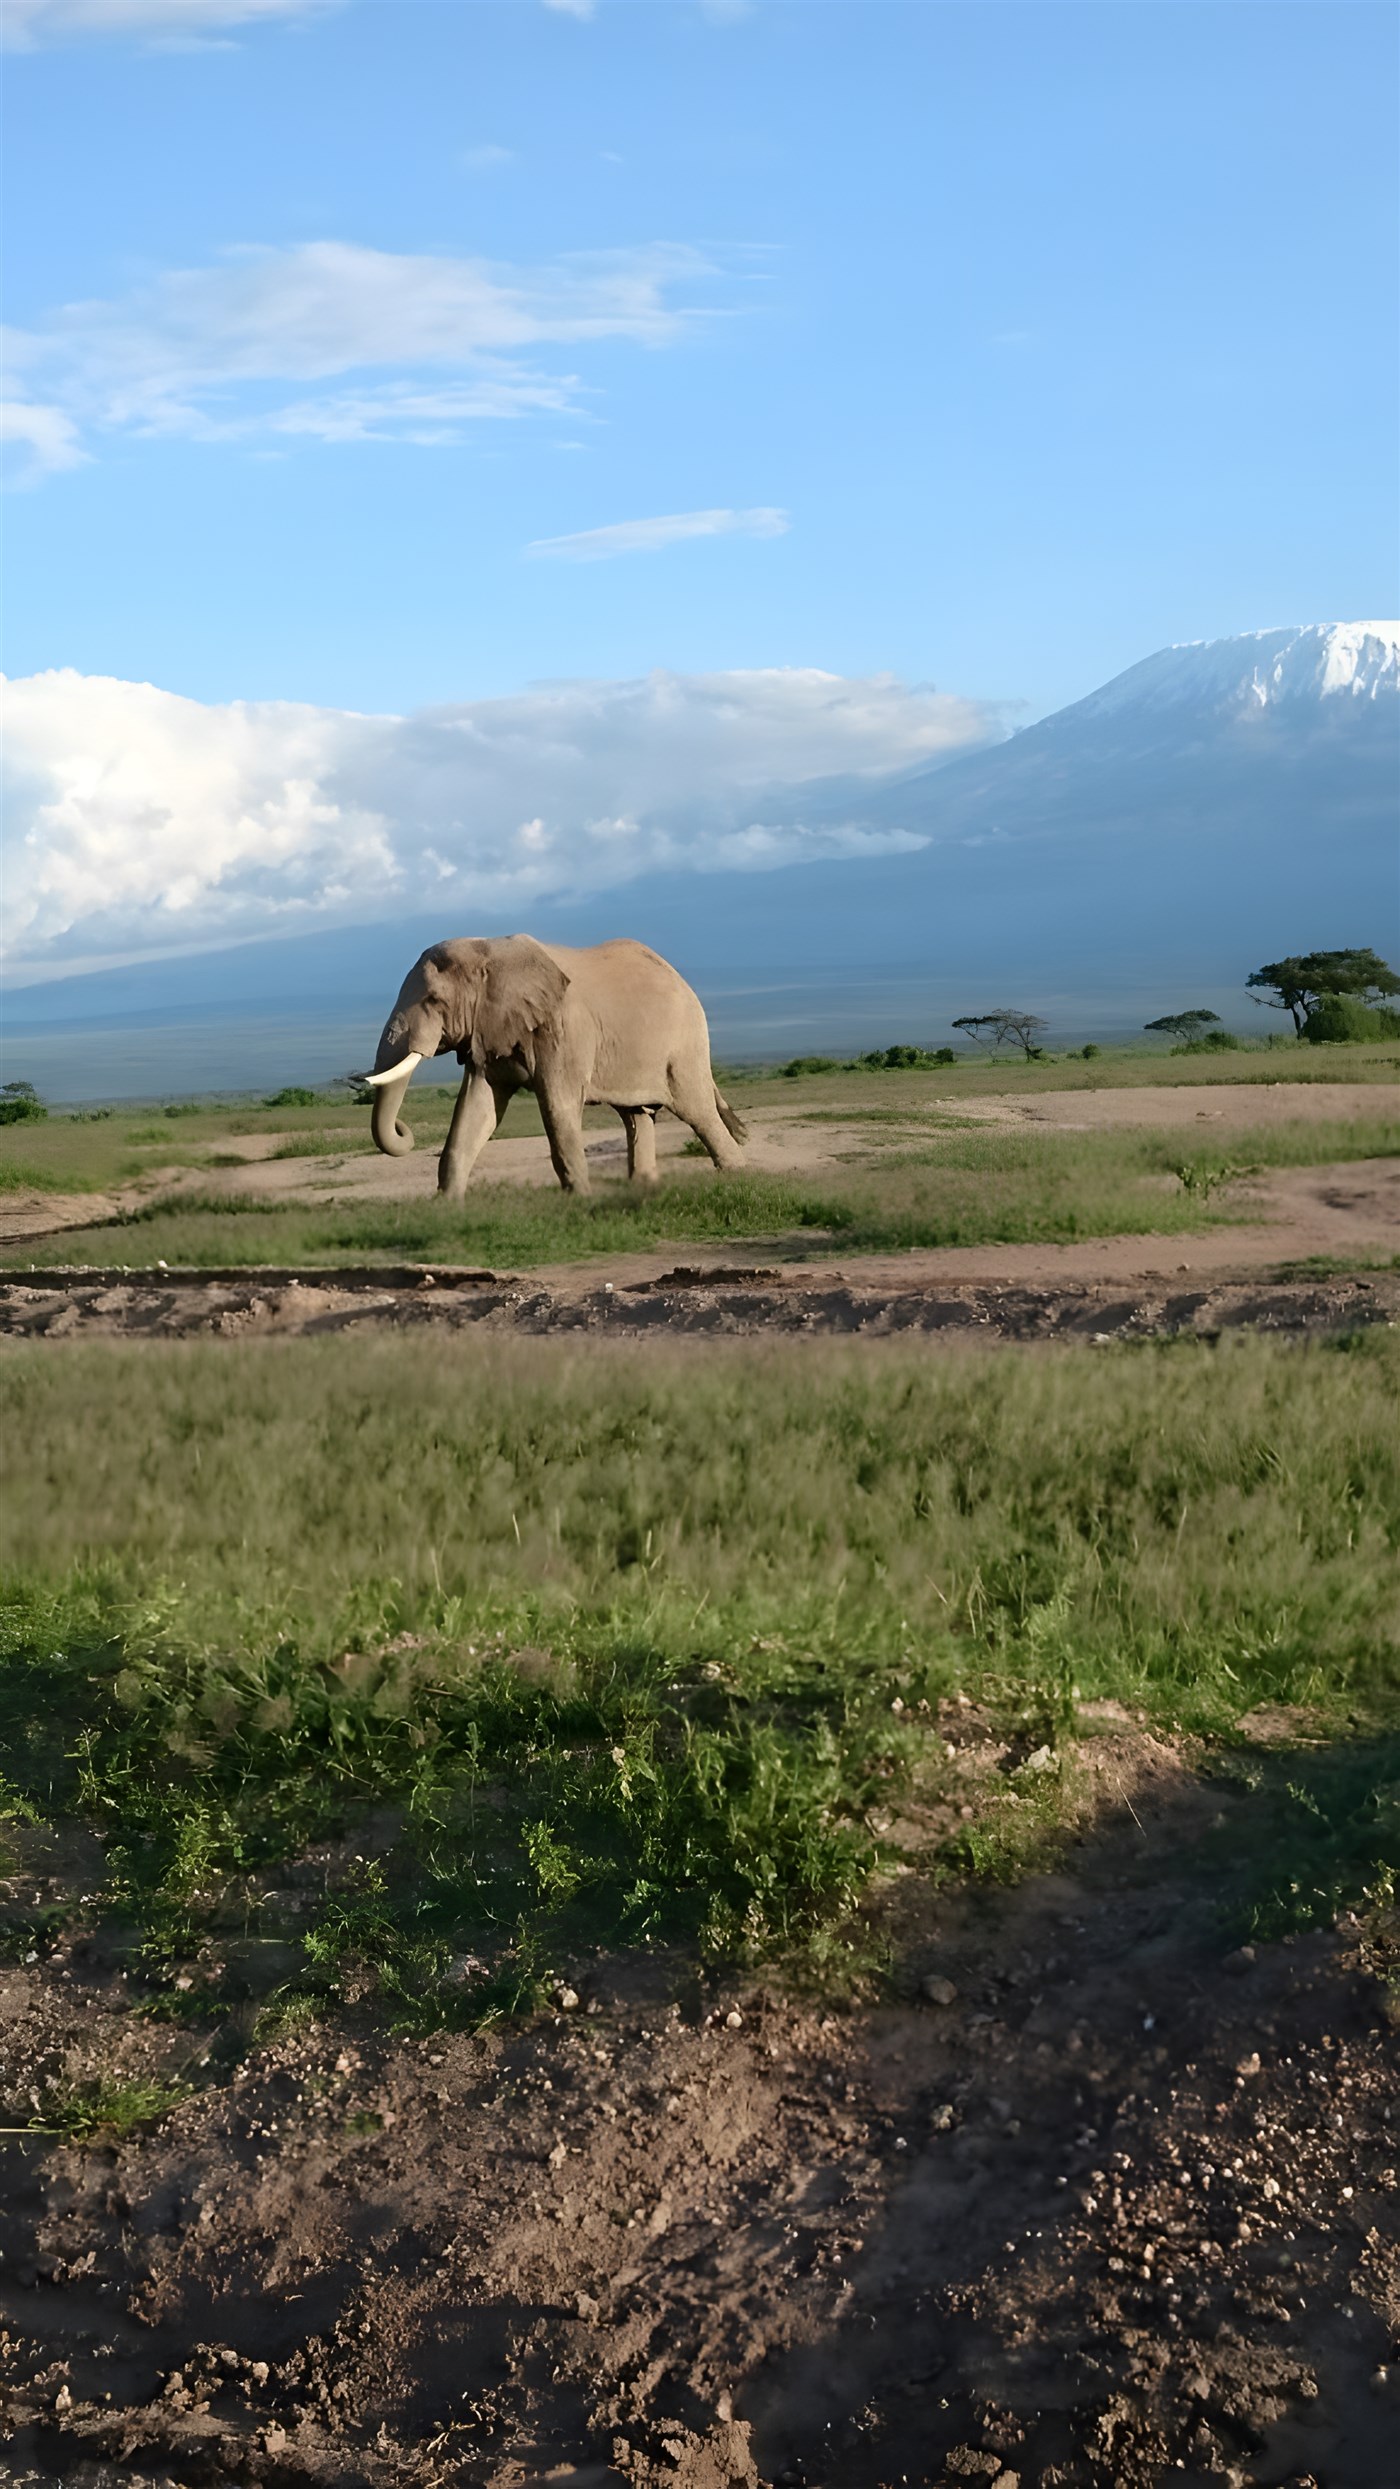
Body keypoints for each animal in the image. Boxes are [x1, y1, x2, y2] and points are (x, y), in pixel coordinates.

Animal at [363, 934, 747, 1197]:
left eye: (433, 1000)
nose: (404, 1129)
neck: (489, 949)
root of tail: (679, 978)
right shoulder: (490, 1031)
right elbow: (477, 1109)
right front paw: (448, 1206)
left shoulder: (564, 1030)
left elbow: (557, 1107)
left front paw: (581, 1201)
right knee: (636, 1116)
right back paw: (643, 1187)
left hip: (685, 1044)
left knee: (697, 1110)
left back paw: (737, 1174)